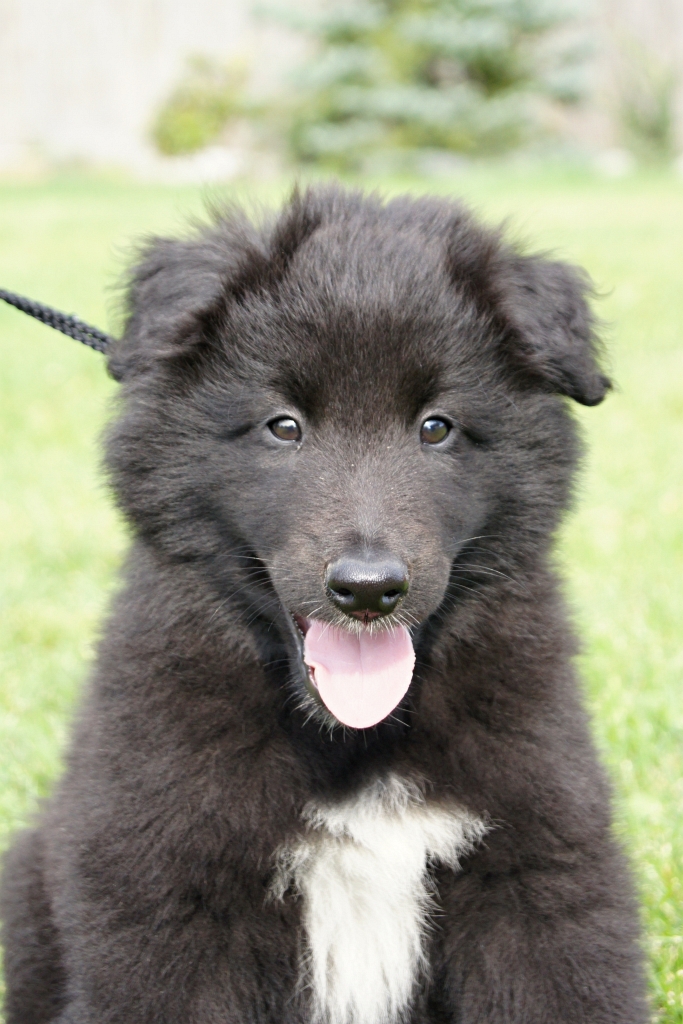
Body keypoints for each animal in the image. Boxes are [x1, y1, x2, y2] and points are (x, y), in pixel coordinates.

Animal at [1, 185, 647, 1023]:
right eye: (283, 426)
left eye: (436, 427)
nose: (368, 589)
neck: (351, 742)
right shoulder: (163, 892)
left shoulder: (539, 874)